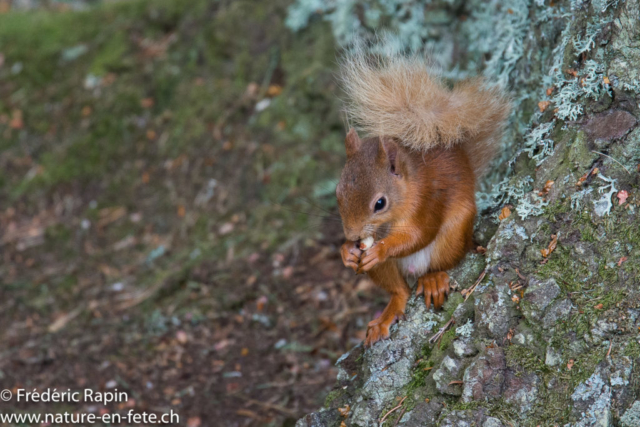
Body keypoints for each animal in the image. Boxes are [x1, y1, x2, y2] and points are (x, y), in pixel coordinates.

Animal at [336, 50, 510, 346]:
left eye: (380, 203)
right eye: (338, 193)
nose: (353, 235)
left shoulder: (428, 199)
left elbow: (420, 233)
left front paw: (379, 249)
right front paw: (347, 251)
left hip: (454, 235)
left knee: (445, 262)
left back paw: (433, 279)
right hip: (386, 271)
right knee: (399, 291)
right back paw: (387, 313)